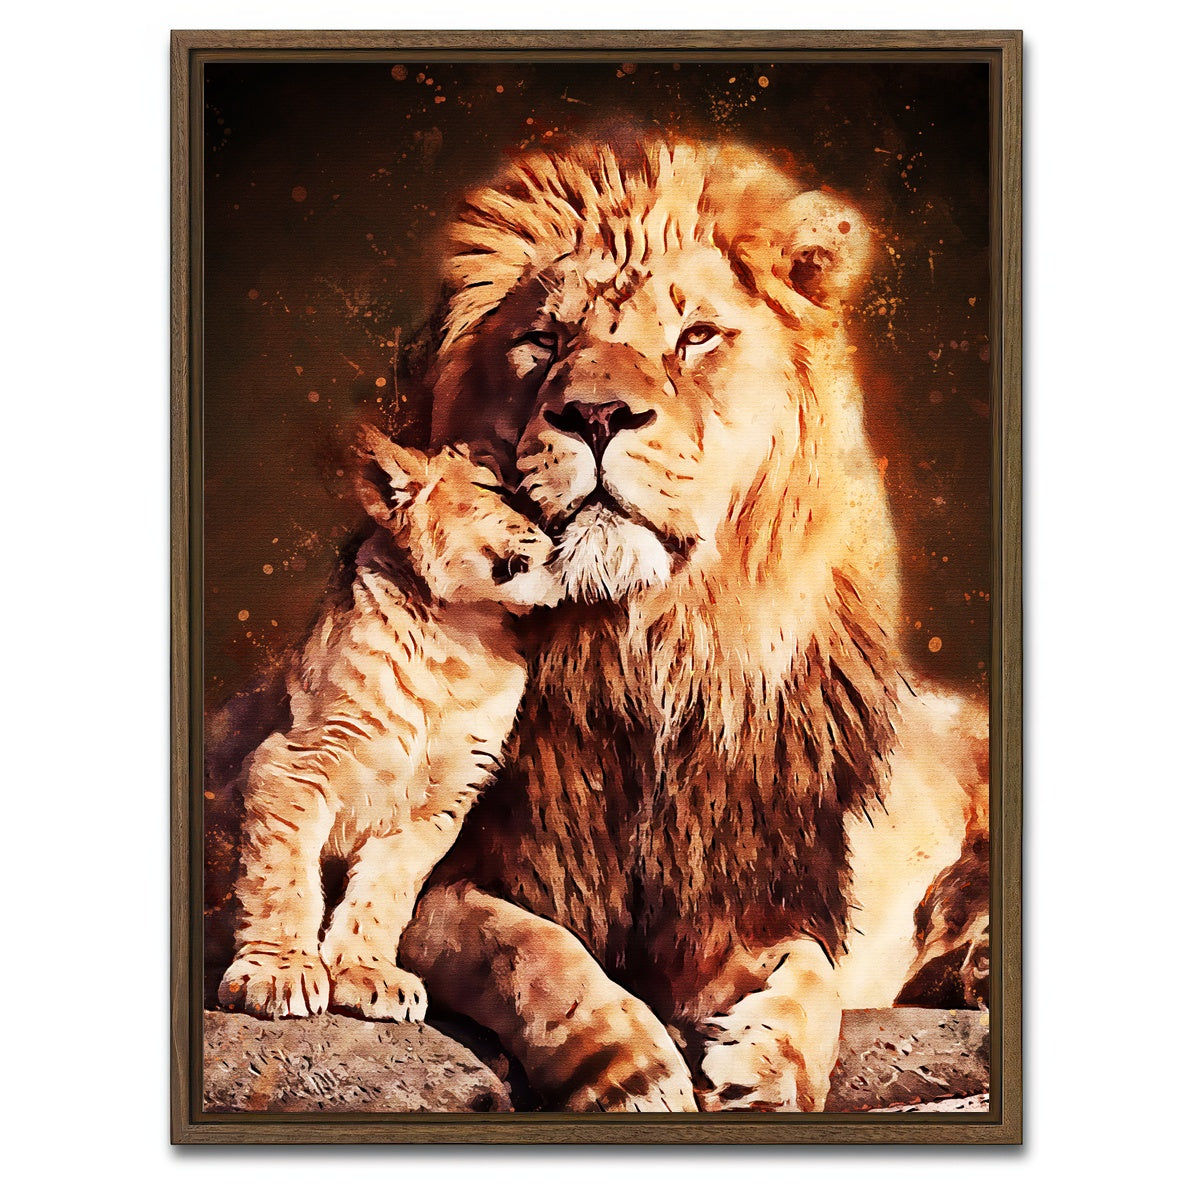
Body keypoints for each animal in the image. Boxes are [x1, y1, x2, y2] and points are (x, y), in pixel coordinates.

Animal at [217, 426, 562, 1023]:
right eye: (498, 490)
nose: (562, 531)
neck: (458, 639)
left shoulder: (438, 805)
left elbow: (386, 890)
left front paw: (366, 973)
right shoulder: (291, 761)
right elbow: (282, 875)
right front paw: (278, 972)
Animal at [387, 136, 991, 1113]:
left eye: (695, 337)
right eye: (545, 342)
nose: (595, 413)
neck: (642, 647)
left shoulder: (742, 900)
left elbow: (814, 976)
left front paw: (772, 1069)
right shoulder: (442, 878)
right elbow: (528, 948)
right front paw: (628, 1069)